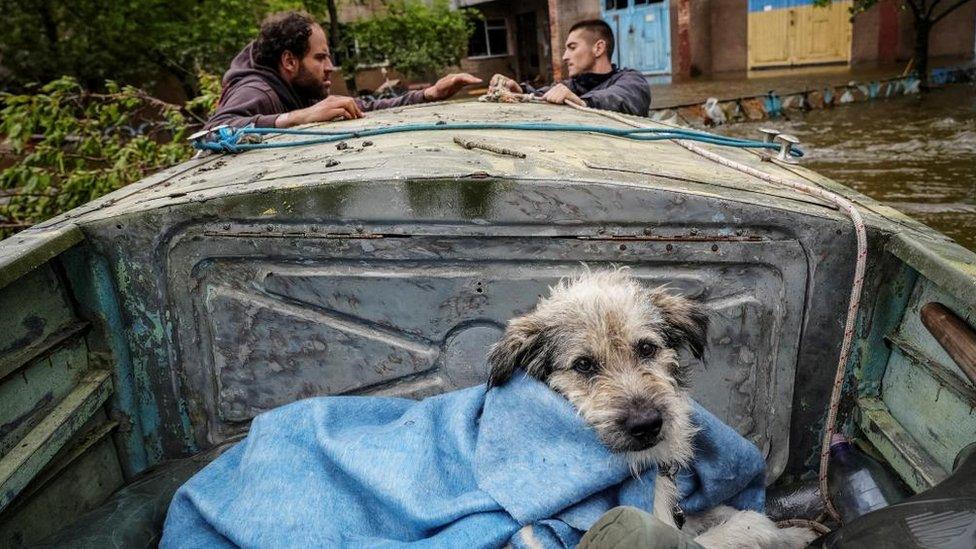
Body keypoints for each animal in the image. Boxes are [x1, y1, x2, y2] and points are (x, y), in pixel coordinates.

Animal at [486, 270, 816, 548]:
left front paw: (794, 533)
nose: (646, 424)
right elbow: (751, 523)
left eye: (646, 348)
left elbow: (718, 511)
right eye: (583, 365)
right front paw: (780, 532)